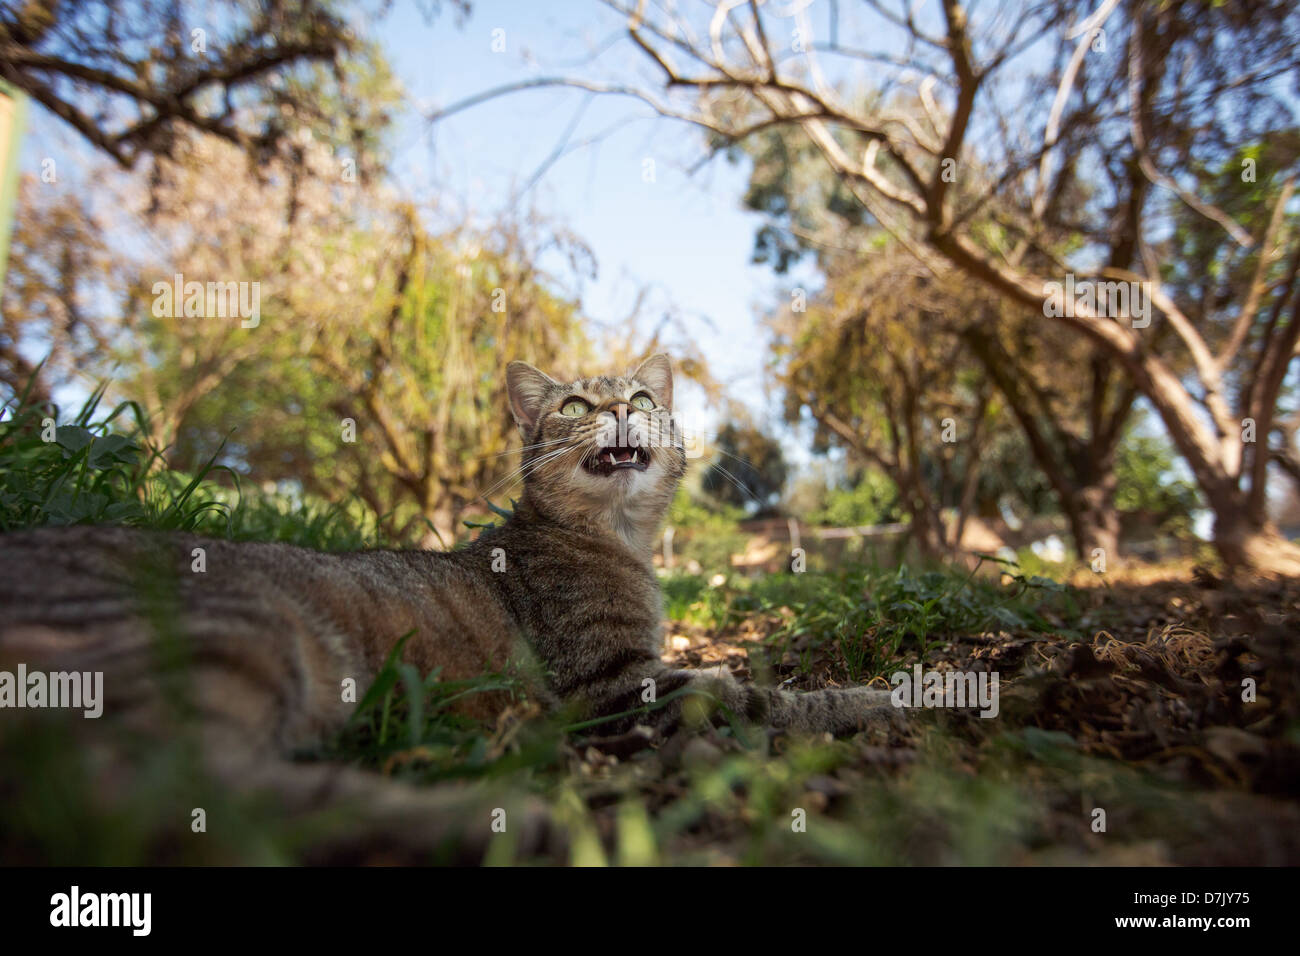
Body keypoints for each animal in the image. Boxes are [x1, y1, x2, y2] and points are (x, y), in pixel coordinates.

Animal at [0, 356, 899, 863]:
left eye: (644, 394)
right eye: (575, 405)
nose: (622, 410)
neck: (619, 539)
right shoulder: (613, 682)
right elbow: (769, 696)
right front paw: (890, 697)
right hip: (238, 636)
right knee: (173, 797)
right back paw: (535, 825)